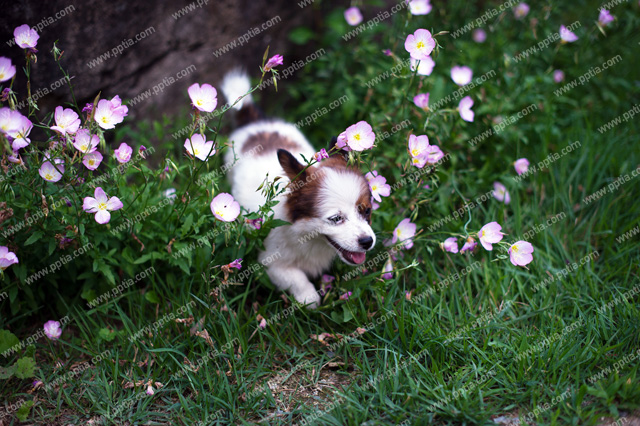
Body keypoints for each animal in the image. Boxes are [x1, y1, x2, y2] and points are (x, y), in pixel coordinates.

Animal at [222, 71, 378, 308]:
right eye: (335, 219)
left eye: (366, 211)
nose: (367, 242)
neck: (308, 237)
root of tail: (255, 122)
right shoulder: (271, 262)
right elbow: (295, 277)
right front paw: (308, 298)